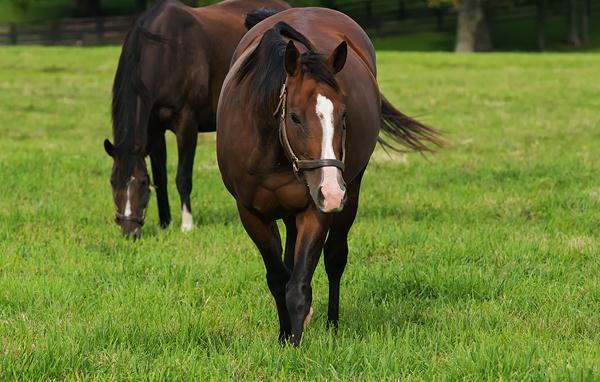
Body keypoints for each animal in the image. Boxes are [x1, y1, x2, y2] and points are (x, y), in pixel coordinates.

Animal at [103, 0, 290, 237]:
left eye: (143, 183)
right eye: (112, 181)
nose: (130, 233)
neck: (167, 51)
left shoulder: (187, 123)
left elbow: (183, 177)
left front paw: (187, 225)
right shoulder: (154, 129)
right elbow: (161, 176)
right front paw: (165, 223)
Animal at [218, 8, 442, 344]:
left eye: (344, 114)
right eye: (295, 117)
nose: (333, 192)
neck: (273, 151)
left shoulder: (316, 208)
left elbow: (299, 285)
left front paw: (296, 343)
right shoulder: (251, 213)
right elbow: (278, 278)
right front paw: (285, 336)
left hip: (350, 192)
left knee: (335, 257)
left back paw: (333, 323)